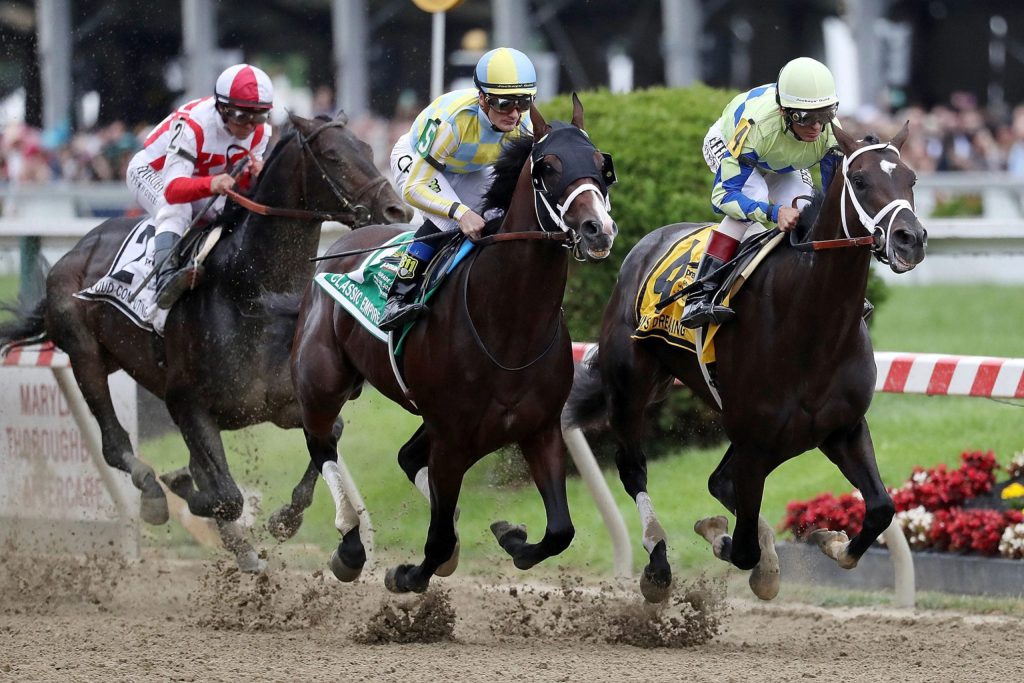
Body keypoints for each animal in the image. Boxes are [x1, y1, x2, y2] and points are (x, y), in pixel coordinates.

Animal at [0, 112, 411, 571]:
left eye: (369, 148)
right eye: (333, 155)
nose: (396, 209)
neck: (258, 293)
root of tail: (76, 250)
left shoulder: (282, 404)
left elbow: (329, 436)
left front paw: (284, 519)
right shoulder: (187, 402)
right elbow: (225, 496)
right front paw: (184, 490)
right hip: (85, 356)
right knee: (113, 444)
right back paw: (155, 495)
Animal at [288, 95, 618, 593]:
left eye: (602, 165)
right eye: (547, 167)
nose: (599, 229)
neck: (510, 330)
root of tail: (344, 242)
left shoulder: (539, 431)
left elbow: (560, 531)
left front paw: (511, 536)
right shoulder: (452, 438)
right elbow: (438, 540)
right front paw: (407, 574)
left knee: (405, 458)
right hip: (323, 380)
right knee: (322, 442)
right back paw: (349, 546)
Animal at [562, 123, 927, 602]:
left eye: (911, 178)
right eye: (861, 180)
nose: (910, 239)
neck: (812, 322)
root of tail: (645, 245)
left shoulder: (841, 429)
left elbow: (881, 508)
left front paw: (829, 540)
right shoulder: (755, 441)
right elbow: (743, 547)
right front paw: (725, 539)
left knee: (719, 481)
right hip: (630, 388)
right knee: (634, 469)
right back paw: (658, 565)